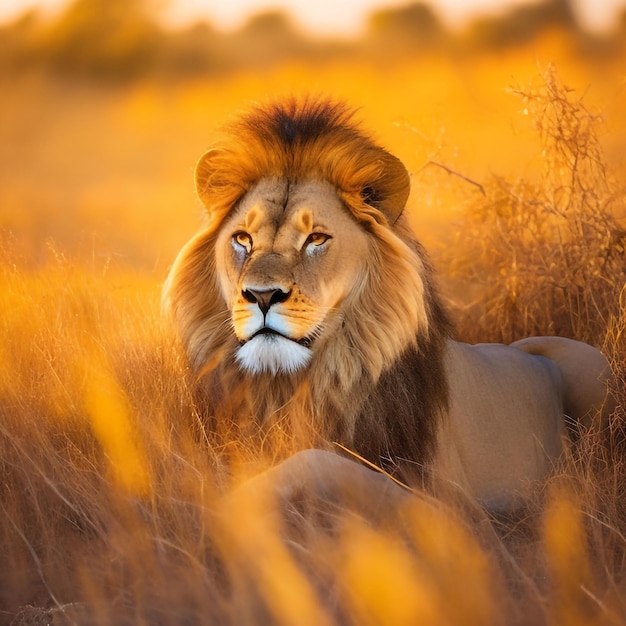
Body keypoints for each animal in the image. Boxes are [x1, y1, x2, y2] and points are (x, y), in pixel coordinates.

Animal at [163, 96, 612, 508]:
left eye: (316, 239)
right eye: (242, 239)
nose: (261, 295)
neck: (294, 387)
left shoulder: (457, 510)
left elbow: (317, 460)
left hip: (592, 367)